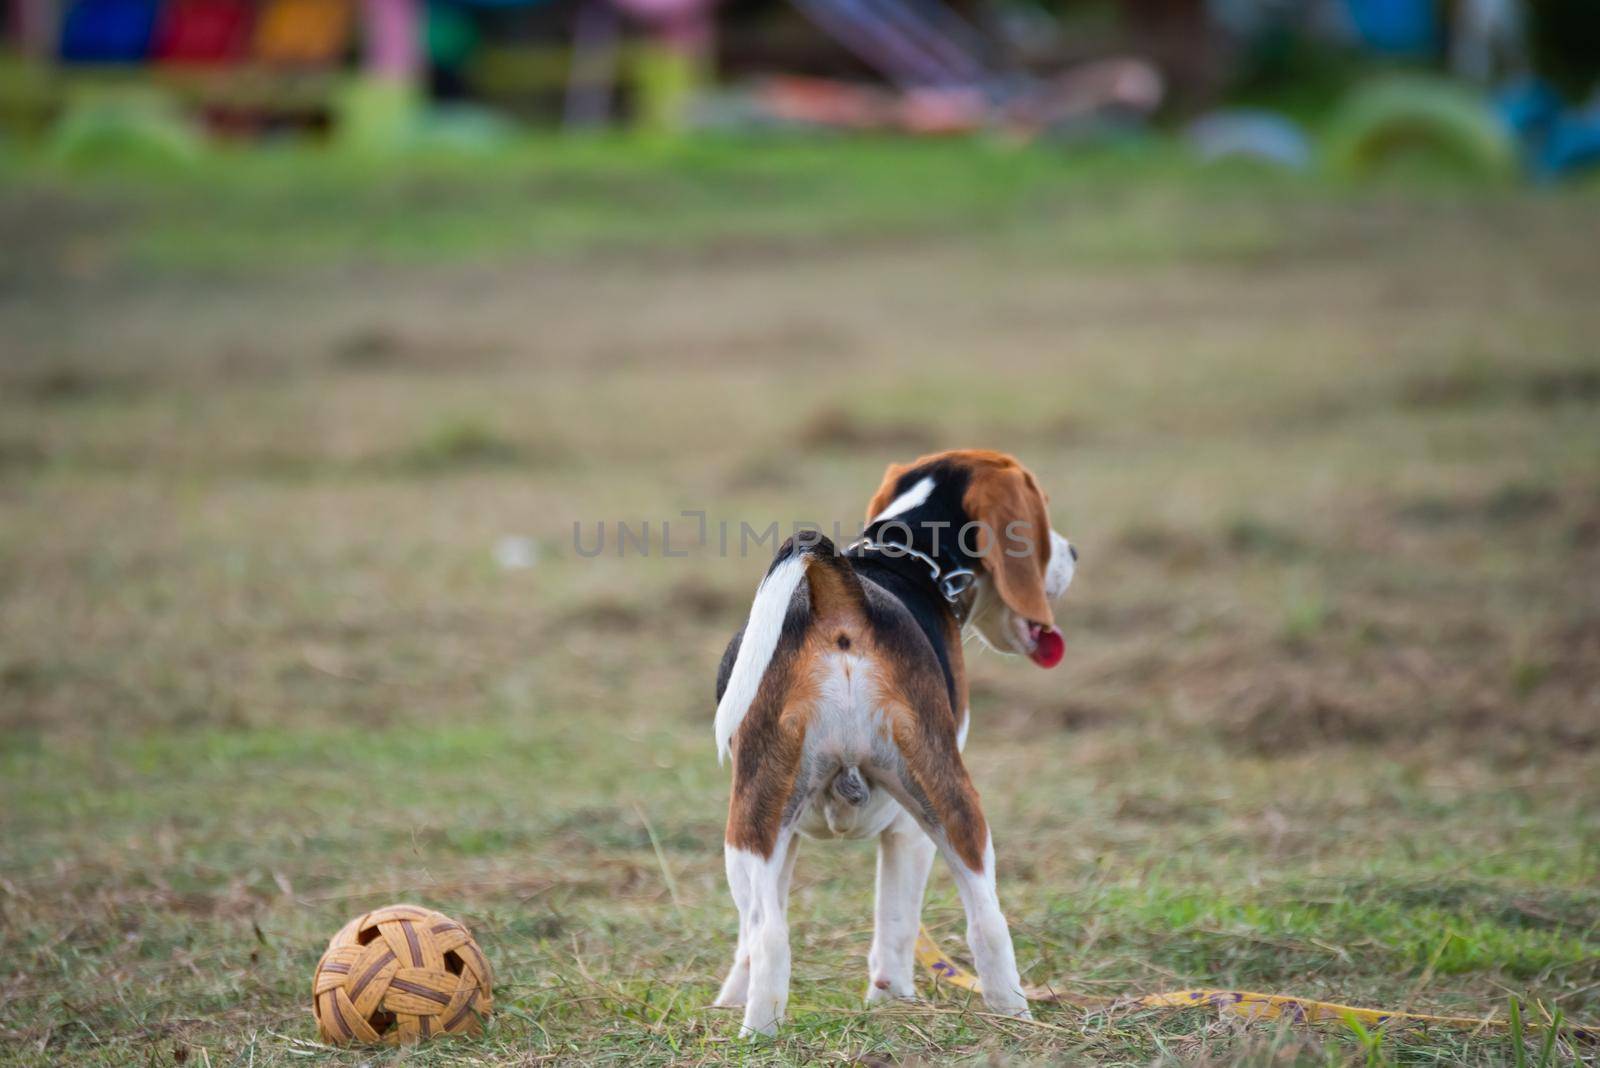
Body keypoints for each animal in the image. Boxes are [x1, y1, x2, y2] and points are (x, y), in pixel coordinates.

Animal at [713, 447, 1075, 1036]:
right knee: (985, 920)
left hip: (754, 822)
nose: (1074, 553)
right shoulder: (907, 829)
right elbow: (897, 921)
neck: (908, 553)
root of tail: (837, 598)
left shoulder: (784, 832)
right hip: (939, 798)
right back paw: (1011, 1014)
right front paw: (893, 1002)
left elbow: (755, 938)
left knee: (768, 934)